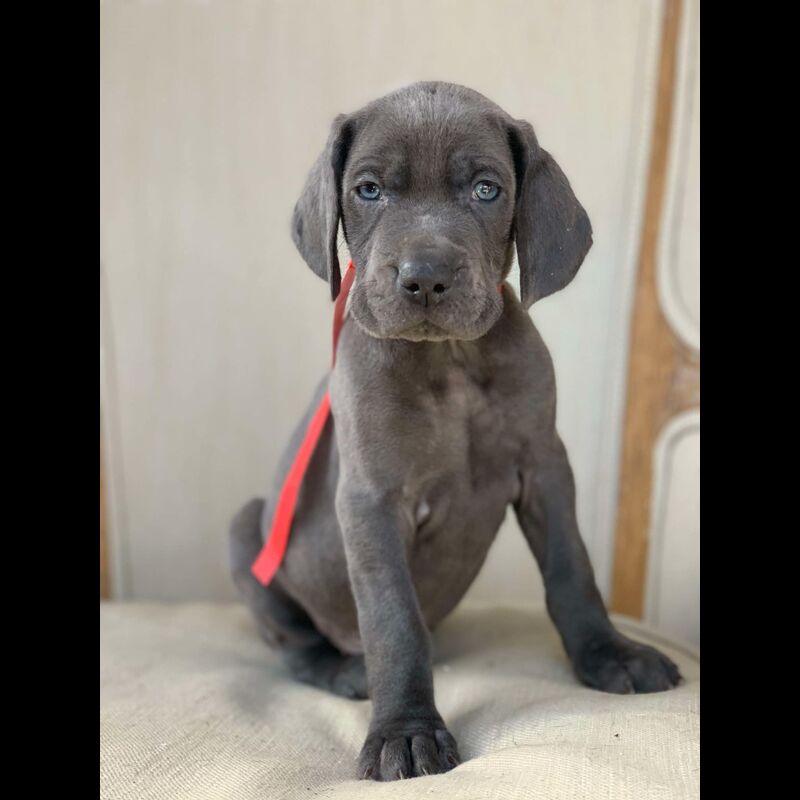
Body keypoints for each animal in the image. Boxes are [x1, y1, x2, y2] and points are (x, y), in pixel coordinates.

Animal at [230, 81, 681, 782]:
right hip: (247, 529)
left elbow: (571, 569)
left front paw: (611, 654)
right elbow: (394, 620)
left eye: (486, 189)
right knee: (299, 644)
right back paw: (344, 670)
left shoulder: (545, 466)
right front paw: (405, 732)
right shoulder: (371, 500)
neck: (449, 361)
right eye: (368, 190)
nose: (424, 277)